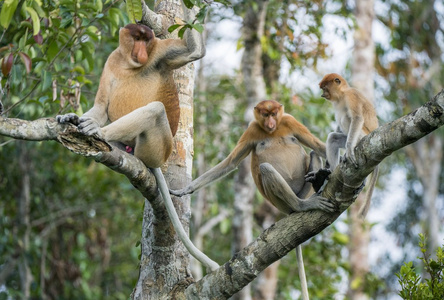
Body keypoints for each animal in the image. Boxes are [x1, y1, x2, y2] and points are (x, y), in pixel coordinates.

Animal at [57, 19, 220, 270]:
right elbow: (101, 107)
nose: (142, 52)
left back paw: (98, 132)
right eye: (137, 38)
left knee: (155, 109)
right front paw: (71, 117)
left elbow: (193, 52)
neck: (128, 63)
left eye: (146, 40)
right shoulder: (111, 61)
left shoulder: (161, 52)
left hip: (156, 148)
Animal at [172, 100, 334, 298]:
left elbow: (318, 146)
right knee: (266, 168)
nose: (271, 123)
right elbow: (231, 162)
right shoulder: (252, 130)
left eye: (274, 114)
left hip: (304, 189)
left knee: (313, 153)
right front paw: (186, 189)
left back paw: (318, 180)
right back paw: (302, 205)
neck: (272, 131)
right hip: (280, 201)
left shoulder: (290, 121)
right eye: (265, 115)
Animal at [318, 72, 380, 218]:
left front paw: (350, 149)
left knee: (348, 117)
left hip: (363, 135)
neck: (342, 94)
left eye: (325, 88)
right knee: (333, 138)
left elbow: (357, 118)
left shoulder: (351, 96)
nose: (323, 95)